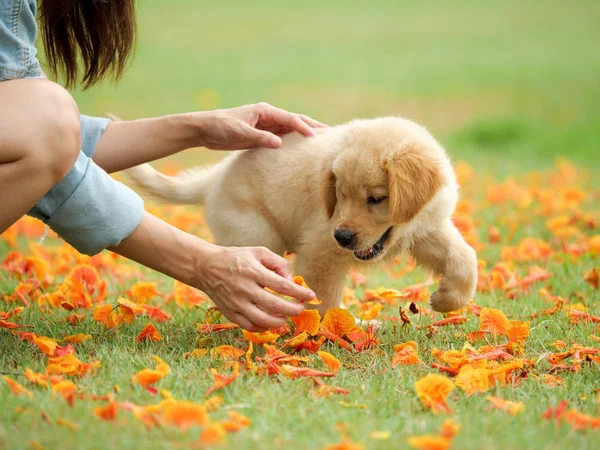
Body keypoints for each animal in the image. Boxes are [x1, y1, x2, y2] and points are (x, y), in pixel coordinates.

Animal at [127, 116, 478, 316]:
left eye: (376, 199)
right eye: (340, 194)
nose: (342, 237)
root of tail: (216, 176)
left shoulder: (427, 228)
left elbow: (465, 257)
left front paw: (448, 300)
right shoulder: (320, 251)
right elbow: (323, 301)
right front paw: (332, 333)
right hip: (258, 235)